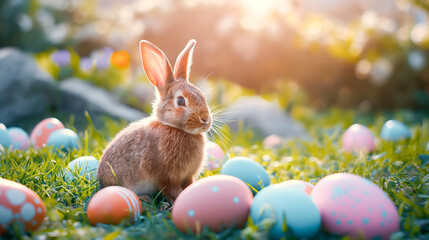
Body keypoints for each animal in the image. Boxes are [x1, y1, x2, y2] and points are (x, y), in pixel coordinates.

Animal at [96, 39, 211, 202]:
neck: (174, 128)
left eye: (202, 95)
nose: (206, 119)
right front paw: (179, 198)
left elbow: (189, 183)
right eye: (181, 101)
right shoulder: (167, 176)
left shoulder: (188, 175)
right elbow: (171, 190)